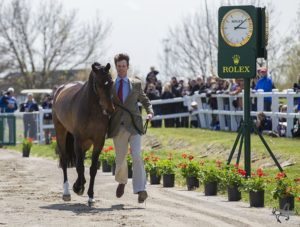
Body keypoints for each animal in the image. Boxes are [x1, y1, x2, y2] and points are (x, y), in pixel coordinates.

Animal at [52, 62, 114, 206]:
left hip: (86, 143)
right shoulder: (78, 140)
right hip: (61, 133)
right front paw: (78, 187)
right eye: (98, 84)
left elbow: (92, 168)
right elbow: (80, 166)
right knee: (64, 160)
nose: (110, 109)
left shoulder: (98, 141)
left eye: (111, 82)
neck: (92, 109)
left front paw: (90, 196)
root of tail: (60, 89)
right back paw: (67, 192)